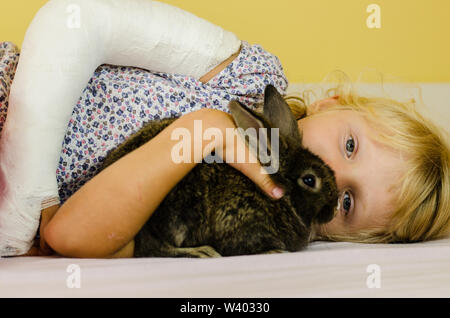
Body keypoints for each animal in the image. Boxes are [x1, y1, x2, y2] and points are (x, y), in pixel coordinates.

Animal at [102, 85, 338, 258]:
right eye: (309, 180)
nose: (333, 209)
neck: (281, 200)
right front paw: (274, 251)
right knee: (153, 248)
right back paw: (201, 252)